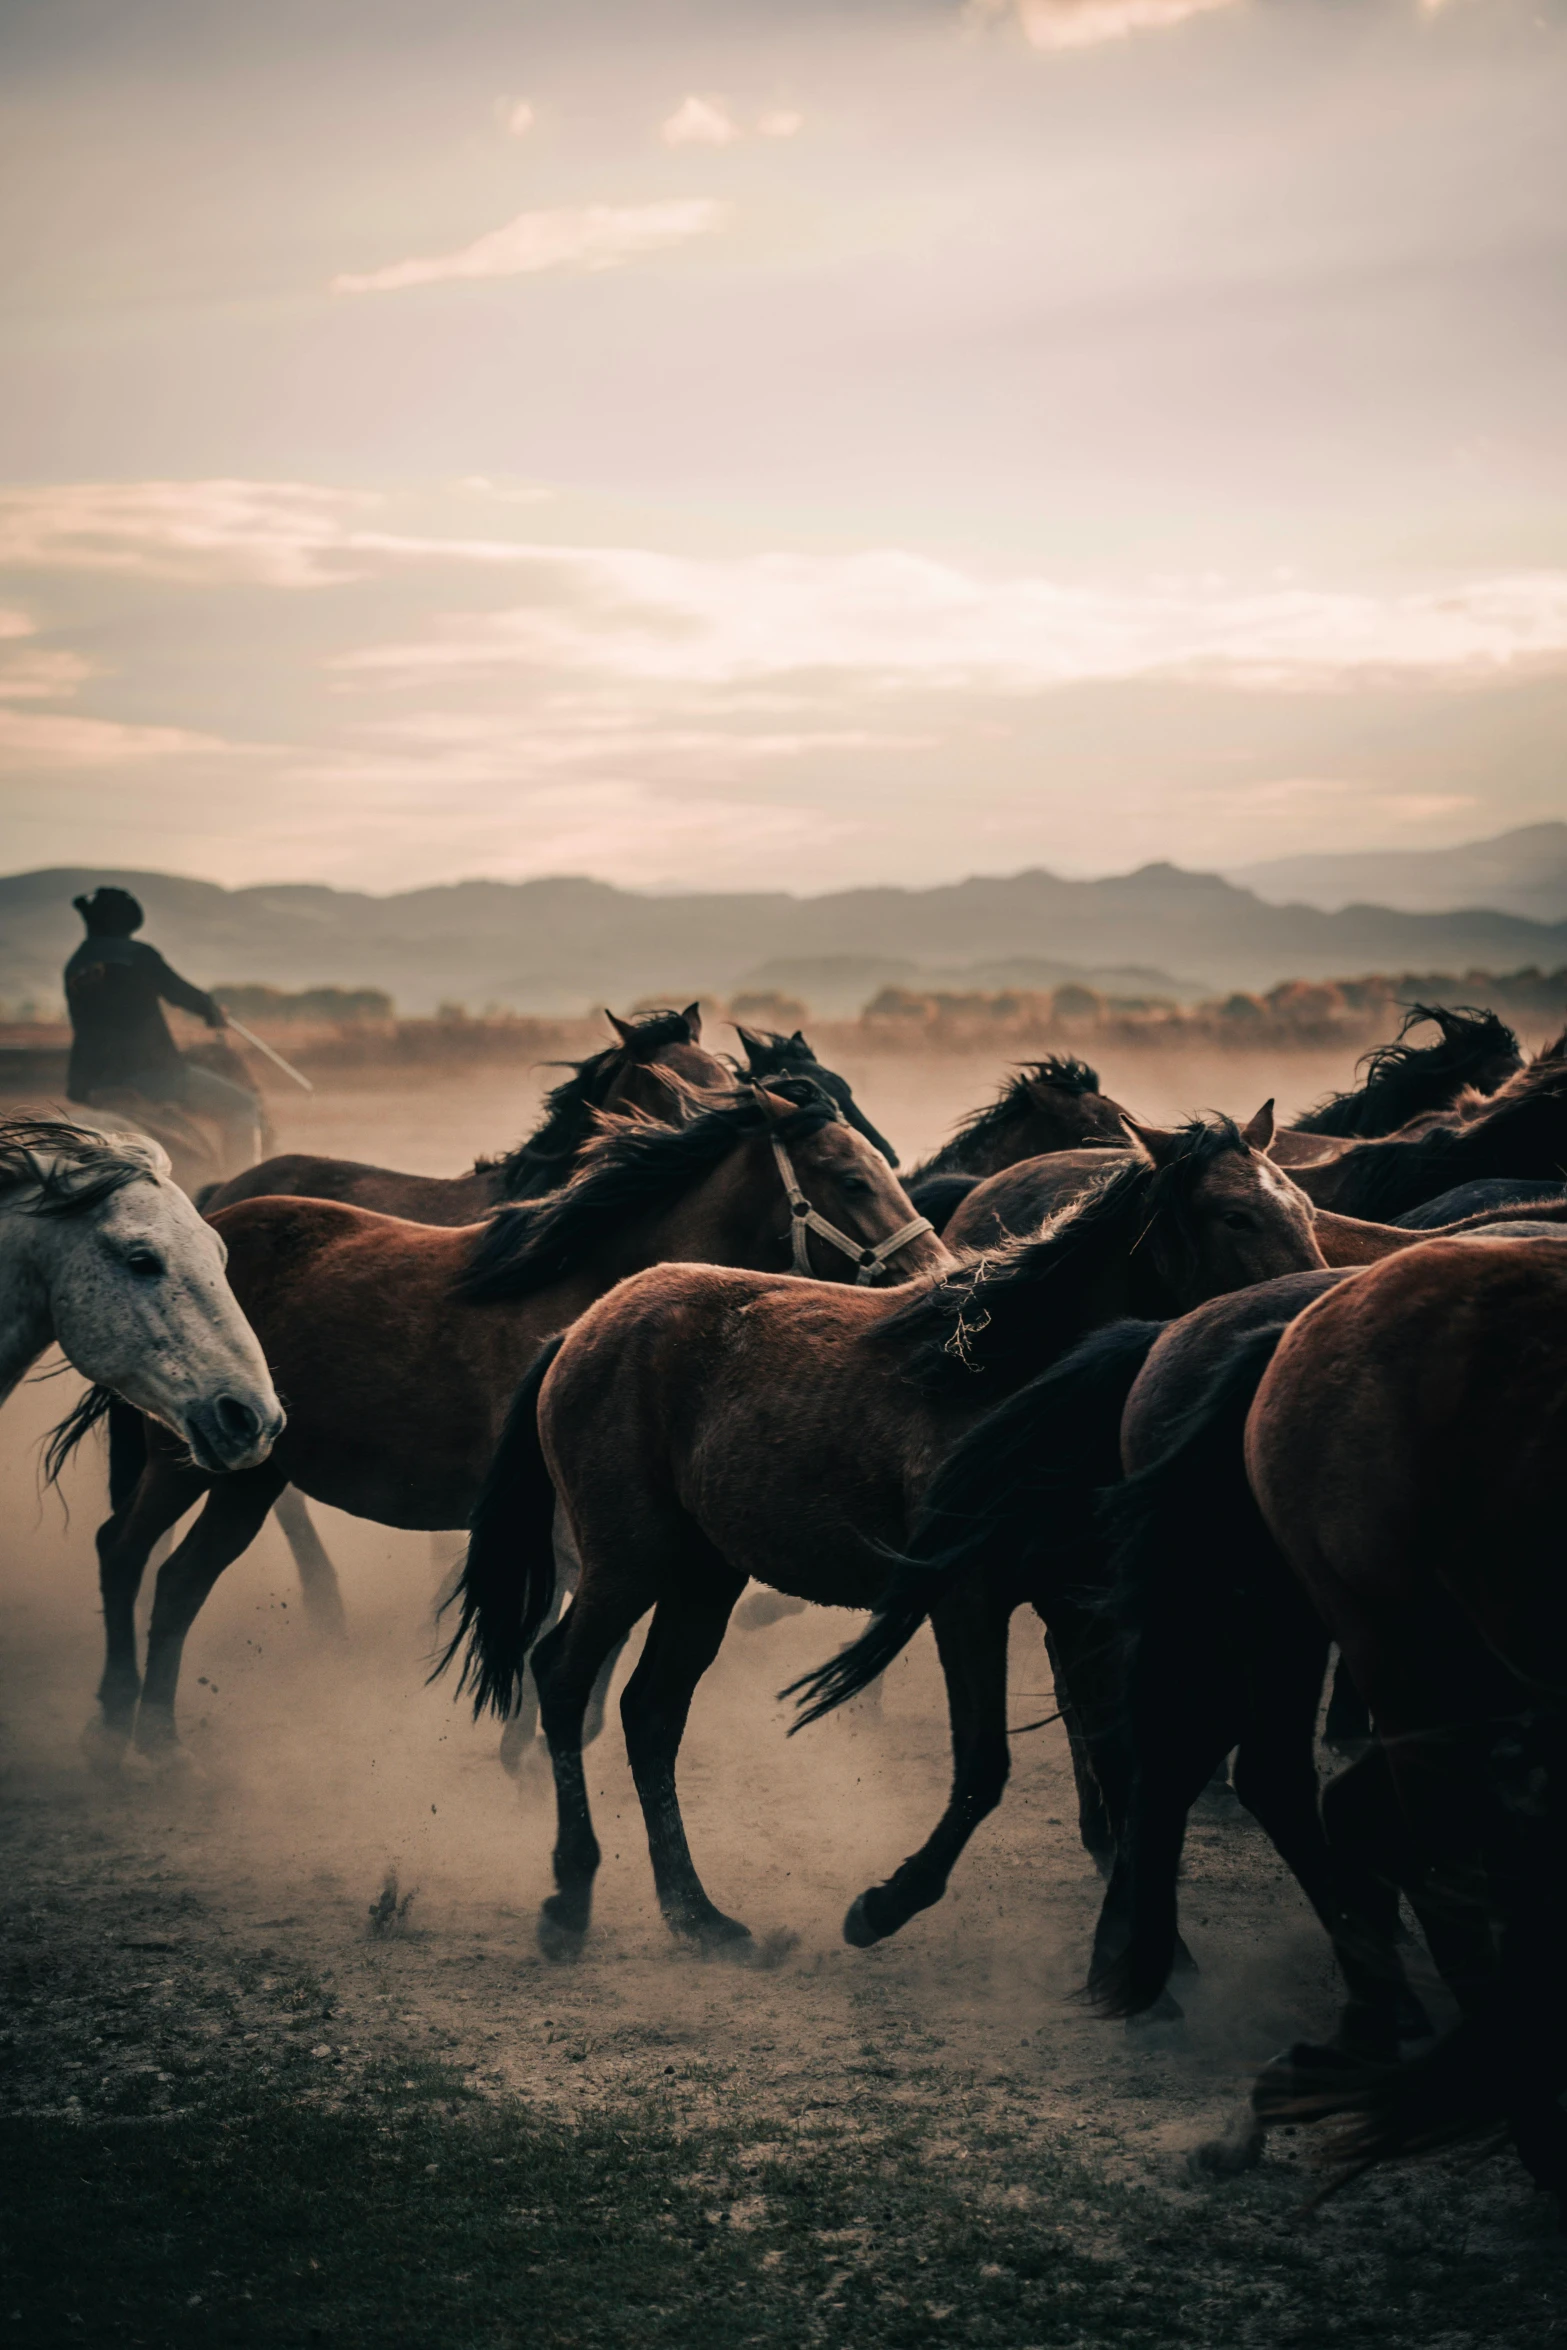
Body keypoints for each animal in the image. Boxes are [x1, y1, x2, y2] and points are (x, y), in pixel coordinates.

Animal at [70, 1081, 944, 1767]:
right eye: (850, 1178)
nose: (934, 1275)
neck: (588, 1298)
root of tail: (213, 1214)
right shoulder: (562, 1519)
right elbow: (553, 1627)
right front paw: (529, 1747)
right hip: (185, 1457)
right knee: (122, 1551)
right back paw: (115, 1724)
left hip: (248, 1476)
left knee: (181, 1583)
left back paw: (159, 1733)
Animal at [439, 1109, 1325, 1955]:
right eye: (1235, 1214)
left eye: (1304, 1206)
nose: (1308, 1312)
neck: (1010, 1380)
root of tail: (583, 1329)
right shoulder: (967, 1600)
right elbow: (983, 1767)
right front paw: (883, 1905)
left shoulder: (1075, 1605)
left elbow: (1112, 1757)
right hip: (627, 1563)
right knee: (560, 1679)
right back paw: (571, 1898)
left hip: (704, 1576)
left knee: (651, 1713)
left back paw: (700, 1917)